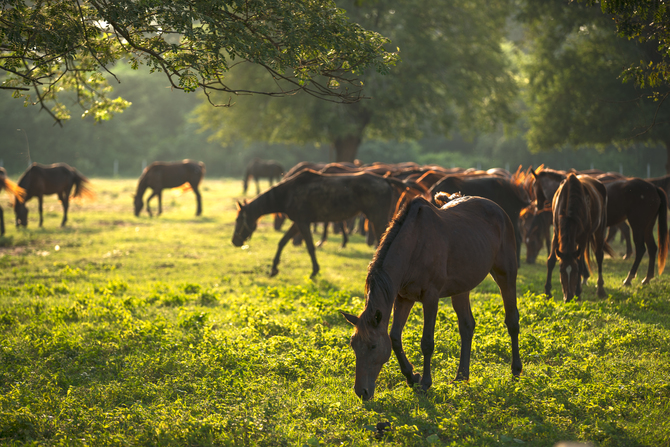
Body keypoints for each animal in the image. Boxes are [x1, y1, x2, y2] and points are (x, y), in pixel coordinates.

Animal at [234, 171, 418, 278]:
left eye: (238, 221)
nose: (234, 241)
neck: (288, 193)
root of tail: (385, 180)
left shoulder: (302, 223)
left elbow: (309, 247)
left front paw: (314, 271)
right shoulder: (298, 222)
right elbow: (282, 242)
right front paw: (274, 269)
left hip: (377, 218)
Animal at [342, 194, 524, 400]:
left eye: (372, 346)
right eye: (353, 345)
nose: (361, 392)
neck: (414, 245)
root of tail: (498, 210)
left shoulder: (430, 298)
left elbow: (427, 342)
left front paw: (425, 383)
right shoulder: (404, 297)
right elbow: (395, 337)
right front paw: (412, 376)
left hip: (506, 275)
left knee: (512, 321)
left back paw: (515, 370)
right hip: (461, 288)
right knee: (467, 326)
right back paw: (461, 376)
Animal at [544, 173, 616, 302]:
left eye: (575, 271)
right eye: (561, 270)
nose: (568, 297)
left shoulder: (583, 237)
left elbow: (580, 263)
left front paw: (578, 292)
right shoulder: (557, 233)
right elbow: (551, 260)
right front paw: (547, 291)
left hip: (599, 229)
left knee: (599, 256)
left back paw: (600, 289)